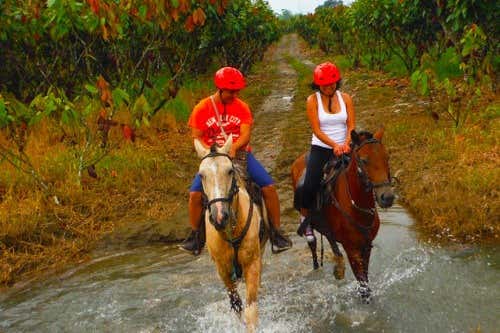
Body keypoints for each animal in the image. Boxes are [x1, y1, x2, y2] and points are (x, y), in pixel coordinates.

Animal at [193, 136, 268, 332]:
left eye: (229, 171)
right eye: (201, 175)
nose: (219, 216)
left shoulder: (252, 264)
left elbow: (251, 311)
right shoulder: (223, 270)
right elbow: (237, 306)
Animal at [292, 127, 394, 298]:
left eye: (387, 157)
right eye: (364, 160)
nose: (387, 197)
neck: (357, 208)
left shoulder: (366, 246)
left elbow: (365, 279)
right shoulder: (352, 249)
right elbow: (363, 286)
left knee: (329, 237)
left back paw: (338, 266)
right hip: (306, 217)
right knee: (312, 242)